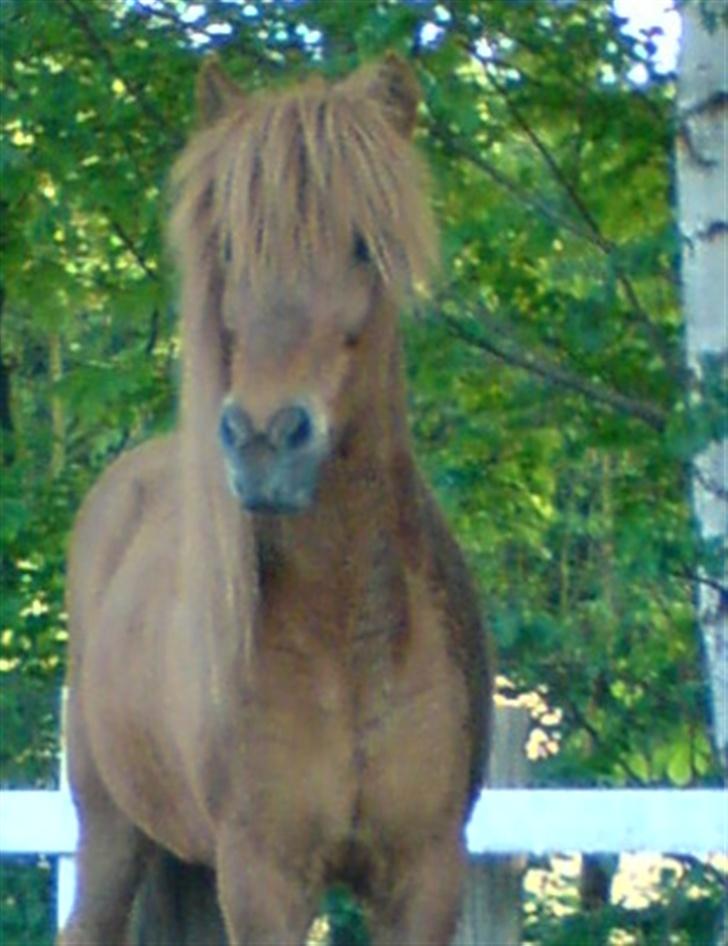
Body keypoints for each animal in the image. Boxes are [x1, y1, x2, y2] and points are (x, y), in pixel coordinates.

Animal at [59, 53, 492, 944]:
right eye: (227, 246)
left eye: (365, 245)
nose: (263, 439)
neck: (349, 642)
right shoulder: (264, 878)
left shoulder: (426, 874)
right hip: (111, 834)